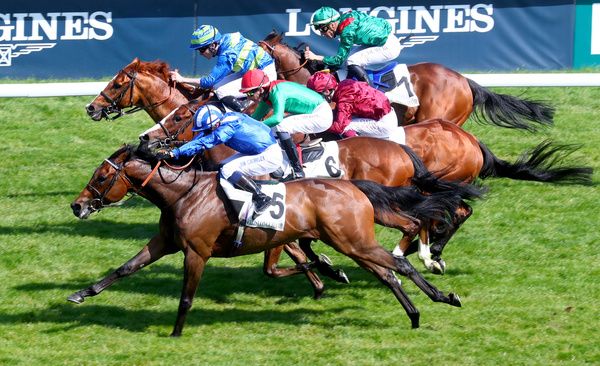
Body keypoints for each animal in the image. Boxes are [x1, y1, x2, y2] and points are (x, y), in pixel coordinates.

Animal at [69, 146, 464, 338]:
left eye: (101, 177)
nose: (77, 205)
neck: (184, 194)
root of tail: (353, 186)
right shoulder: (165, 241)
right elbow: (125, 268)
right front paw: (81, 294)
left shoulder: (196, 252)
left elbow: (186, 297)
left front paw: (176, 333)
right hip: (353, 243)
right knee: (388, 274)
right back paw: (414, 314)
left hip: (353, 241)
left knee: (399, 264)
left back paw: (442, 297)